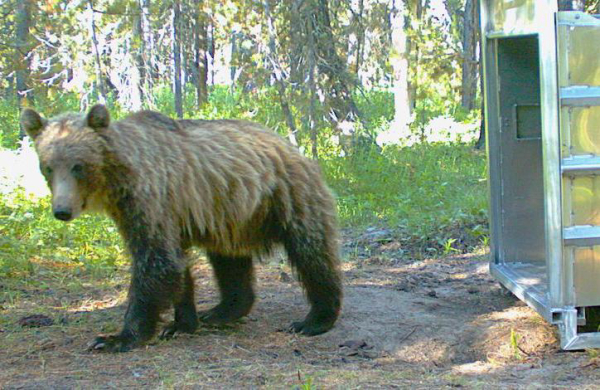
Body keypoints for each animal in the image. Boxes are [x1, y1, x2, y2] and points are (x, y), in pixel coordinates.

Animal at [19, 105, 342, 352]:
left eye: (78, 166)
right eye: (47, 166)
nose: (62, 210)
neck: (118, 181)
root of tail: (290, 145)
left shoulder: (152, 200)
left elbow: (156, 263)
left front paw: (116, 338)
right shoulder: (148, 214)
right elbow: (175, 265)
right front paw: (181, 323)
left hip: (286, 196)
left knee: (312, 253)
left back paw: (314, 319)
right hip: (229, 213)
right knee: (229, 261)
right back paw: (221, 311)